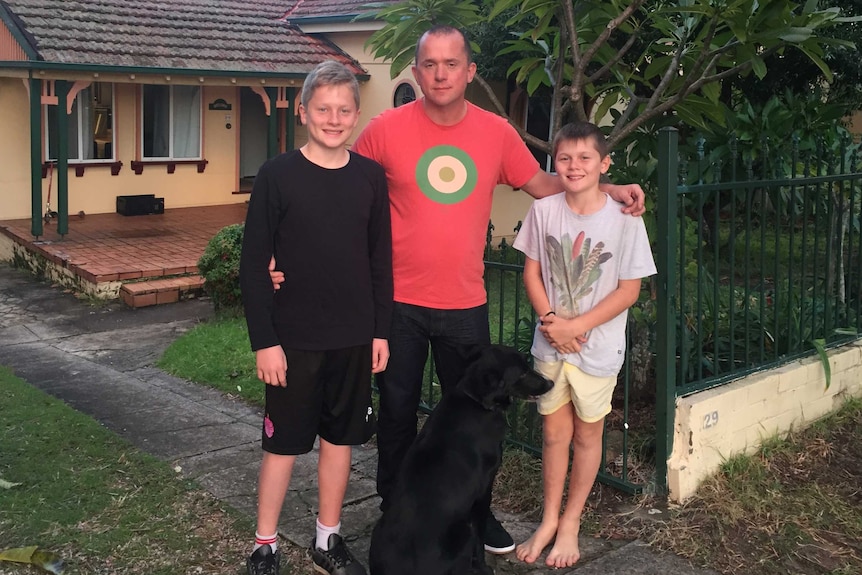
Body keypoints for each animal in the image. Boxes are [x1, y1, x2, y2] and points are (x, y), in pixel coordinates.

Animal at [372, 344, 552, 572]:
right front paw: (484, 568)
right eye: (522, 372)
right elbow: (479, 539)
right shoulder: (483, 492)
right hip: (462, 533)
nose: (551, 383)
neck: (475, 400)